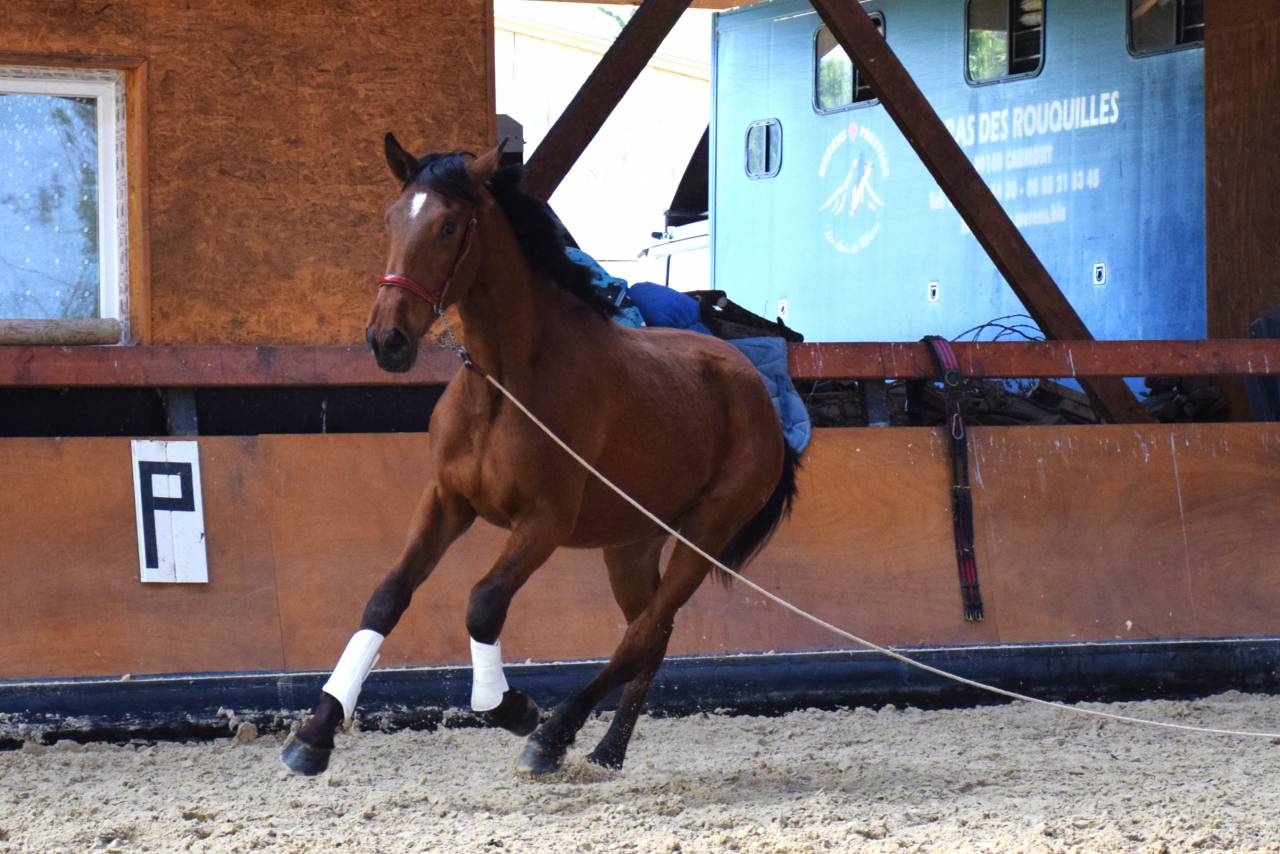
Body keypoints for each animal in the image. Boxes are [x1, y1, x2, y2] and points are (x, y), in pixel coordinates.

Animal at [281, 133, 799, 777]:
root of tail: (753, 383)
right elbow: (386, 598)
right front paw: (315, 734)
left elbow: (483, 604)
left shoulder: (544, 522)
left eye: (449, 226)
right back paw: (606, 751)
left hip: (705, 534)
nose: (387, 341)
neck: (502, 385)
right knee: (651, 637)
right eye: (391, 218)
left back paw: (553, 735)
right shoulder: (446, 501)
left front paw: (510, 706)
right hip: (631, 544)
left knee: (641, 635)